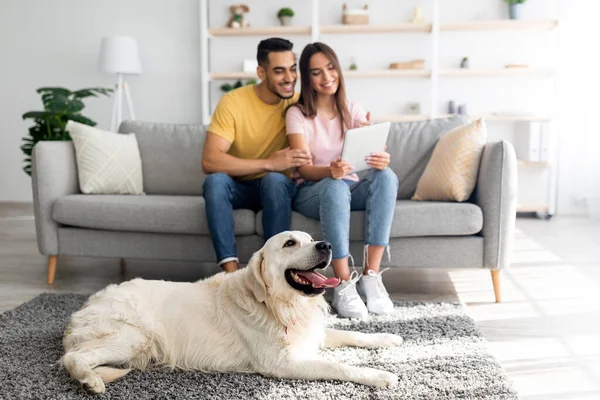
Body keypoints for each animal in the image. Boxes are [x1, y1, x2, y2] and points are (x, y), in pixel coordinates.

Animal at [61, 231, 404, 394]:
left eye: (309, 238)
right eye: (290, 243)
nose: (327, 245)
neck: (278, 305)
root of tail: (87, 304)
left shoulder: (310, 333)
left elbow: (352, 333)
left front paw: (388, 337)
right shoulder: (281, 363)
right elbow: (338, 366)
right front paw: (380, 375)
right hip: (134, 338)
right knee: (72, 358)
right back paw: (90, 381)